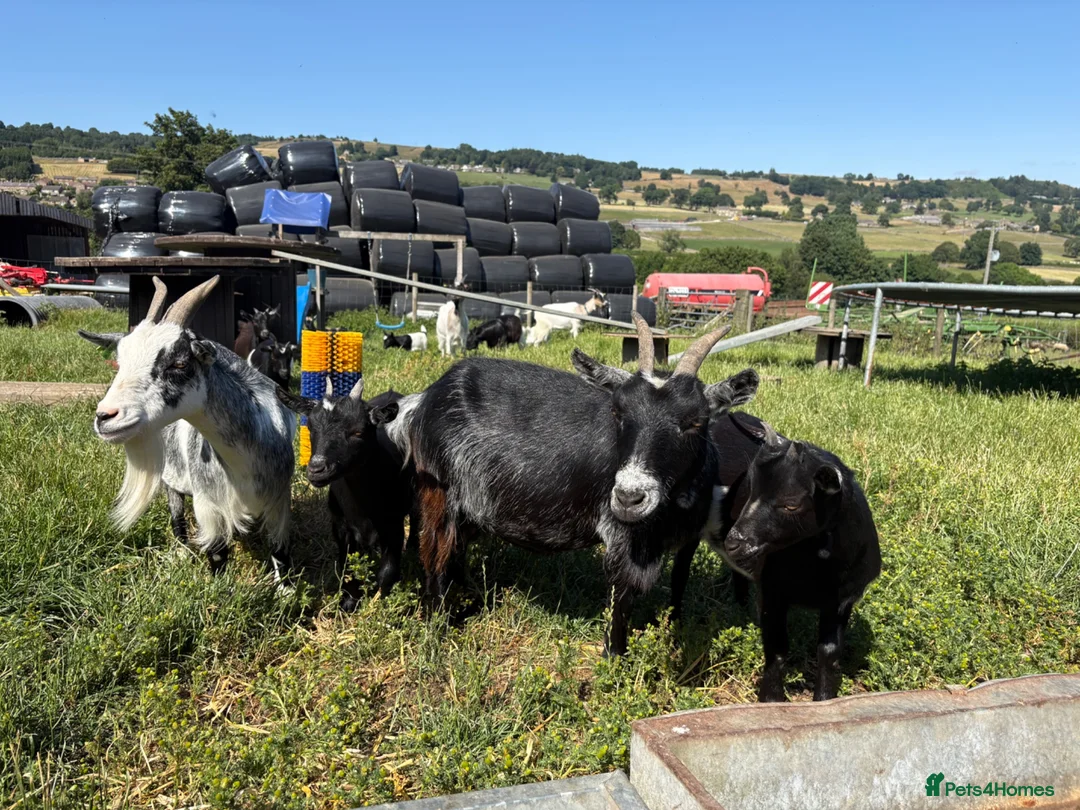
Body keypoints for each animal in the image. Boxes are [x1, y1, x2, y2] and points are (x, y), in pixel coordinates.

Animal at [79, 276, 295, 578]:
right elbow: (217, 555)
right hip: (172, 479)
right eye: (119, 363)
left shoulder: (279, 500)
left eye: (179, 363)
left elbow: (281, 554)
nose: (104, 417)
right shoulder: (209, 505)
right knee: (177, 518)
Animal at [276, 379, 417, 609]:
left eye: (358, 432)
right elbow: (347, 566)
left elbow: (387, 572)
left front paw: (377, 605)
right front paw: (349, 602)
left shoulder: (393, 525)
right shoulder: (341, 526)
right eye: (311, 427)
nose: (316, 469)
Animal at [398, 314, 758, 655]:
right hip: (438, 491)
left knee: (456, 549)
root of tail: (426, 398)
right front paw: (614, 660)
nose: (629, 497)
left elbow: (674, 584)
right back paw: (436, 626)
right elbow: (620, 601)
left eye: (695, 421)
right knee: (435, 553)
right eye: (618, 413)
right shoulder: (622, 537)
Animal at [704, 421, 881, 702]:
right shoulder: (772, 591)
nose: (734, 541)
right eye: (749, 489)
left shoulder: (842, 600)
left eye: (791, 504)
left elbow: (828, 652)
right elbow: (777, 648)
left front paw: (824, 699)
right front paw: (771, 699)